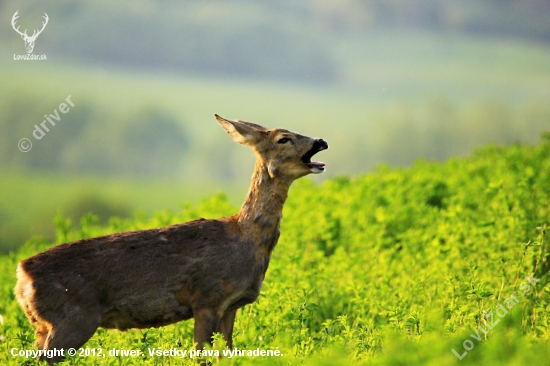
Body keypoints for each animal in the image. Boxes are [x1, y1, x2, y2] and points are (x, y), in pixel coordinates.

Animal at [15, 113, 330, 364]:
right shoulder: (207, 298)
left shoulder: (231, 306)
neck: (246, 240)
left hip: (45, 324)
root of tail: (21, 276)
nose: (321, 141)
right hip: (72, 317)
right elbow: (201, 355)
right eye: (283, 138)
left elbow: (228, 354)